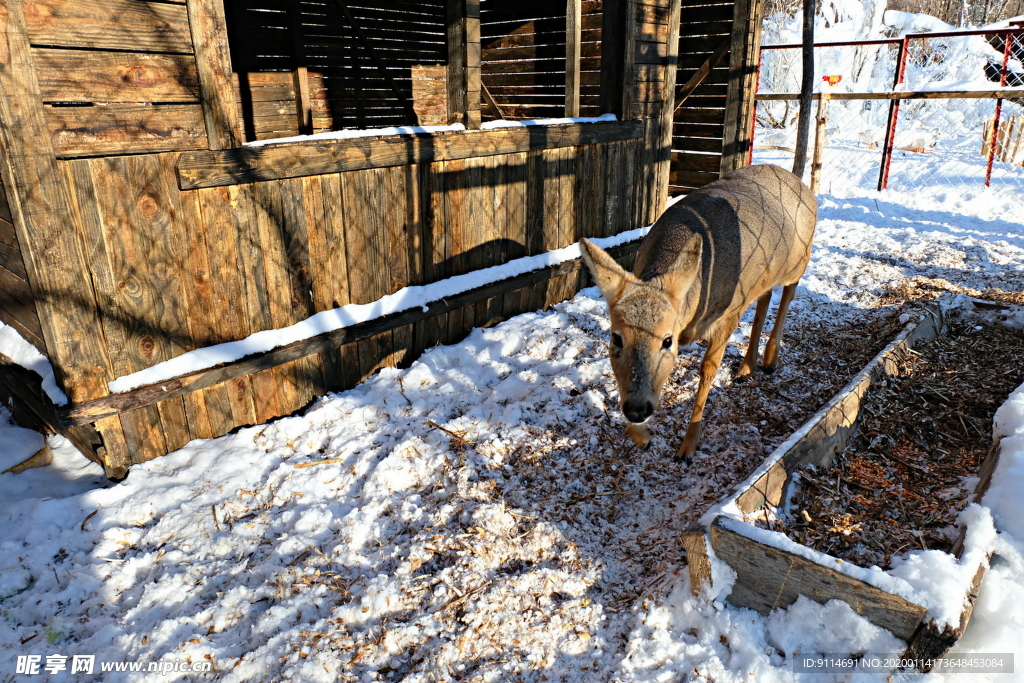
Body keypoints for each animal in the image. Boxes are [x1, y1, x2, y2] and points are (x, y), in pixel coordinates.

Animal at [579, 164, 817, 461]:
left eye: (667, 340)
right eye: (616, 338)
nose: (637, 409)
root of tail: (800, 183)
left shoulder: (729, 312)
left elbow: (708, 370)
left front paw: (688, 445)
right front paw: (643, 436)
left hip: (799, 259)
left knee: (788, 292)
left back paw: (771, 359)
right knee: (766, 297)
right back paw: (746, 368)